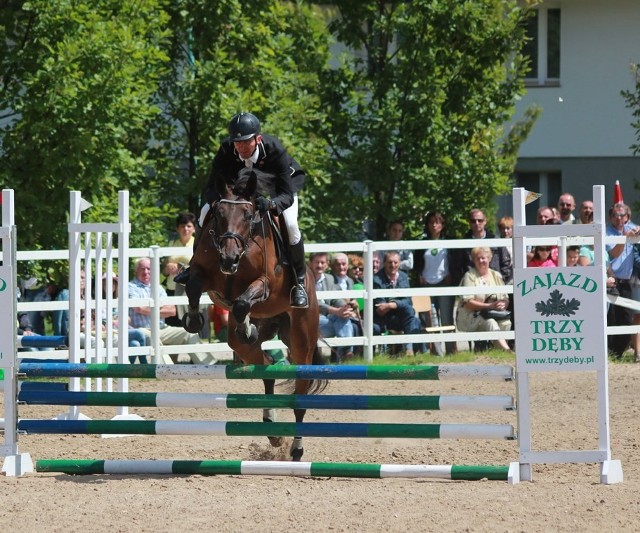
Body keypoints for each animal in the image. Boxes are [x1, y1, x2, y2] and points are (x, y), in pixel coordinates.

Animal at [182, 168, 328, 460]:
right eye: (218, 214)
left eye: (249, 216)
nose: (229, 258)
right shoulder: (203, 275)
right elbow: (193, 285)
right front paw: (193, 319)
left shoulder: (264, 284)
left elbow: (241, 302)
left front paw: (245, 324)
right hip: (246, 344)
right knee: (266, 365)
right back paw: (272, 431)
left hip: (302, 339)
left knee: (300, 395)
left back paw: (296, 449)